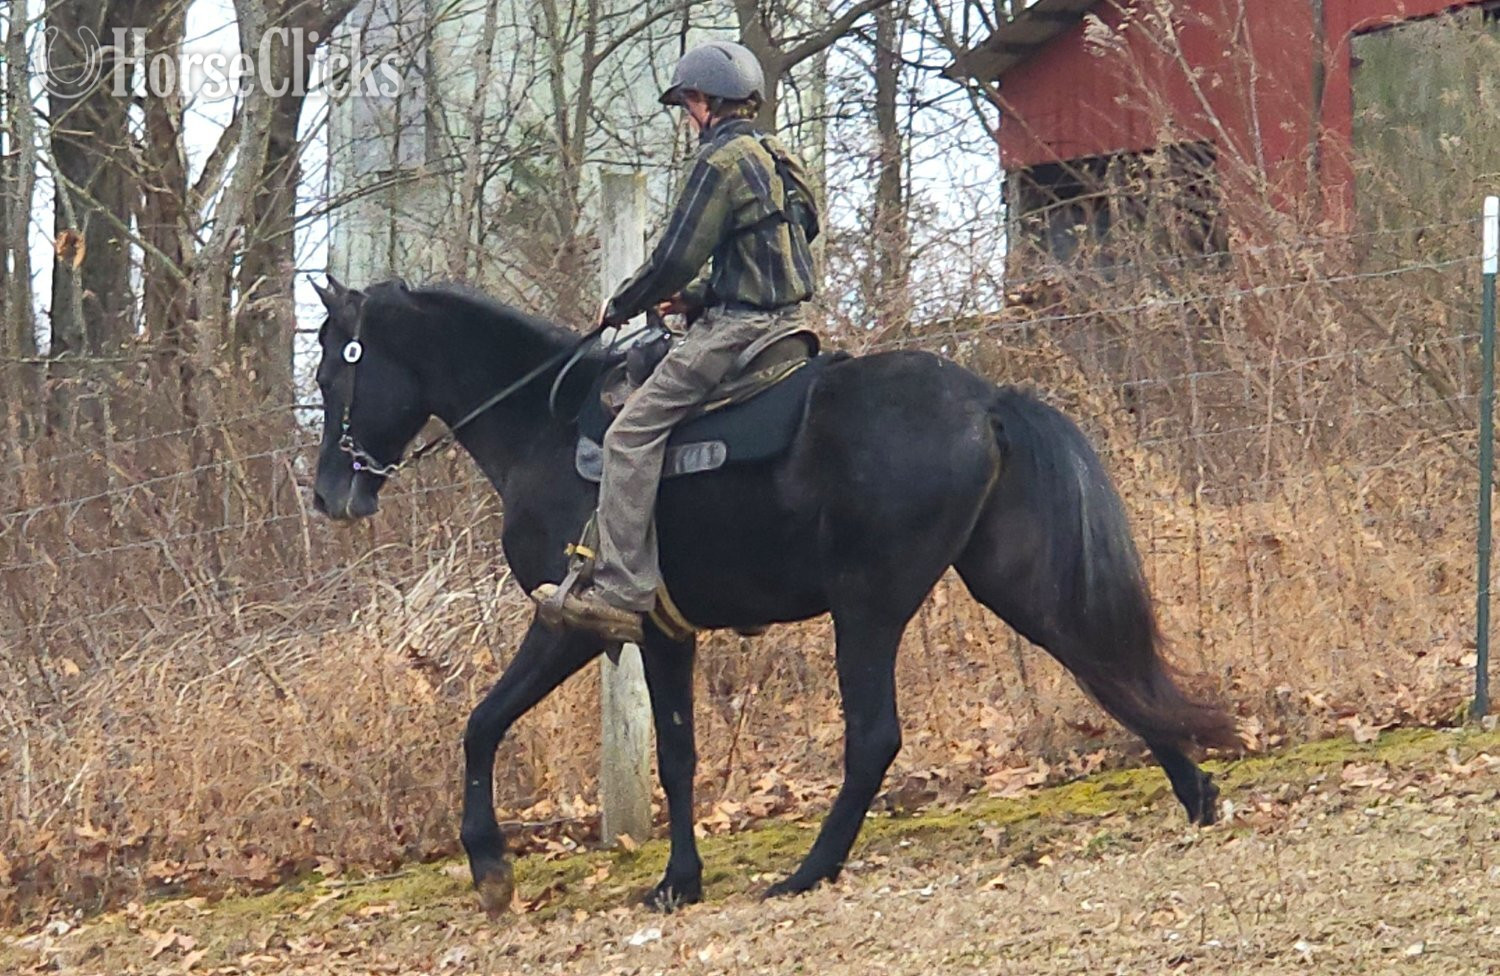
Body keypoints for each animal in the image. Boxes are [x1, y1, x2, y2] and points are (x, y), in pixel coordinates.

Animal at [309, 276, 1238, 913]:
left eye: (328, 373)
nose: (329, 495)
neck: (543, 426)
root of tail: (988, 400)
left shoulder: (575, 623)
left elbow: (485, 724)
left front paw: (496, 868)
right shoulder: (664, 636)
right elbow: (676, 756)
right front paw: (679, 880)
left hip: (868, 608)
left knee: (875, 737)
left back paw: (808, 871)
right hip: (1008, 583)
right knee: (1099, 664)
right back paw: (1196, 793)